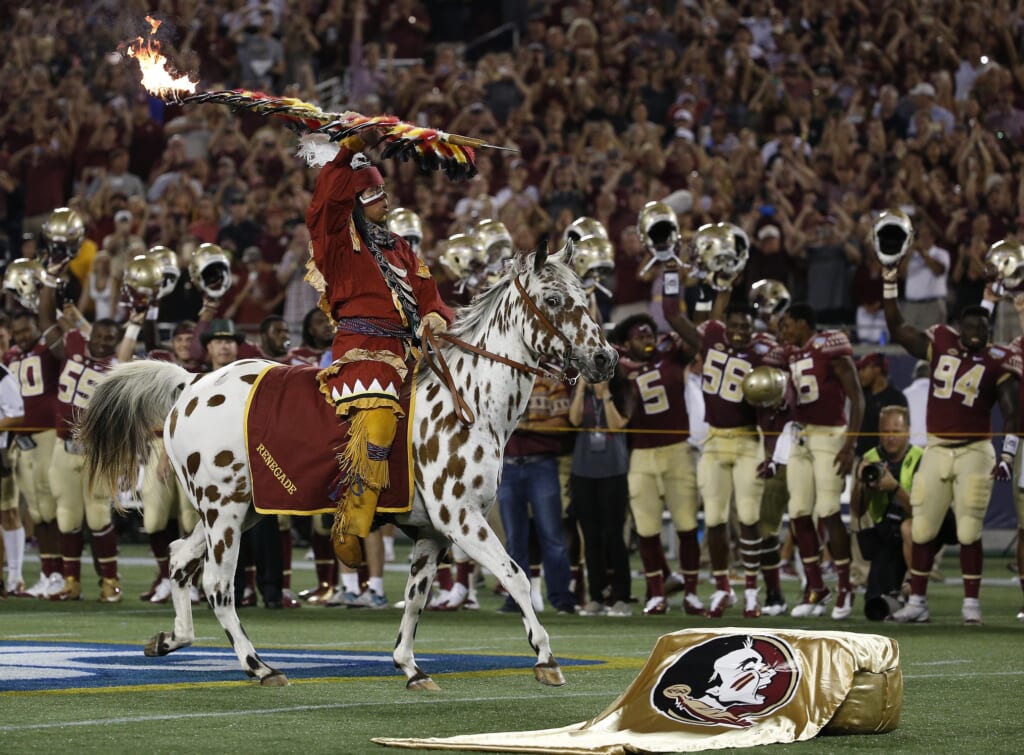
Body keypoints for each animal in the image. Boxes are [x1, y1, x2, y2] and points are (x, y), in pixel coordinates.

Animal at [77, 245, 614, 688]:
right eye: (554, 300)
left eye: (583, 296)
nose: (605, 359)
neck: (471, 400)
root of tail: (191, 382)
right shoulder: (461, 520)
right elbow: (516, 575)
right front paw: (544, 657)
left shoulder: (432, 533)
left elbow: (417, 598)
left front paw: (410, 667)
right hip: (223, 512)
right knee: (216, 584)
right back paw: (259, 666)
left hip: (240, 512)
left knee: (178, 559)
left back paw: (172, 640)